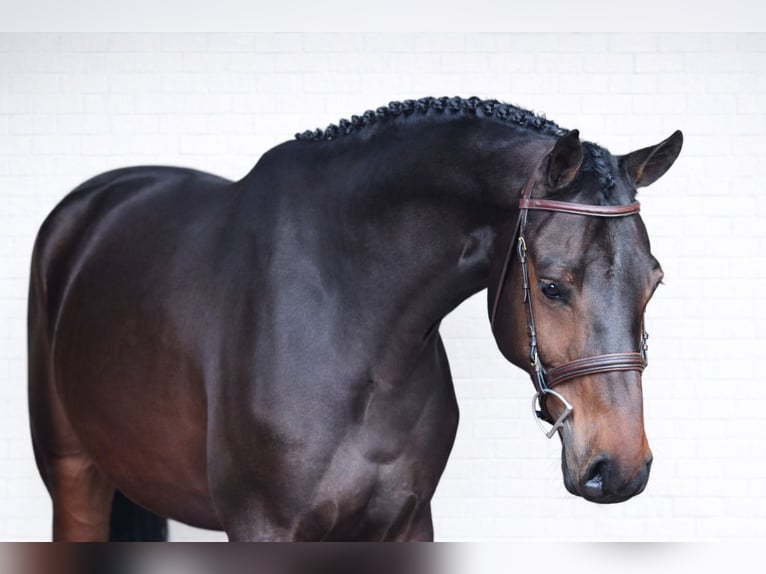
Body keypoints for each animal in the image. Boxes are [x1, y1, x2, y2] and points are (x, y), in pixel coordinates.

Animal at [27, 96, 682, 541]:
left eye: (653, 284)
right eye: (550, 286)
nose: (620, 468)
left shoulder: (406, 522)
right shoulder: (264, 528)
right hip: (74, 476)